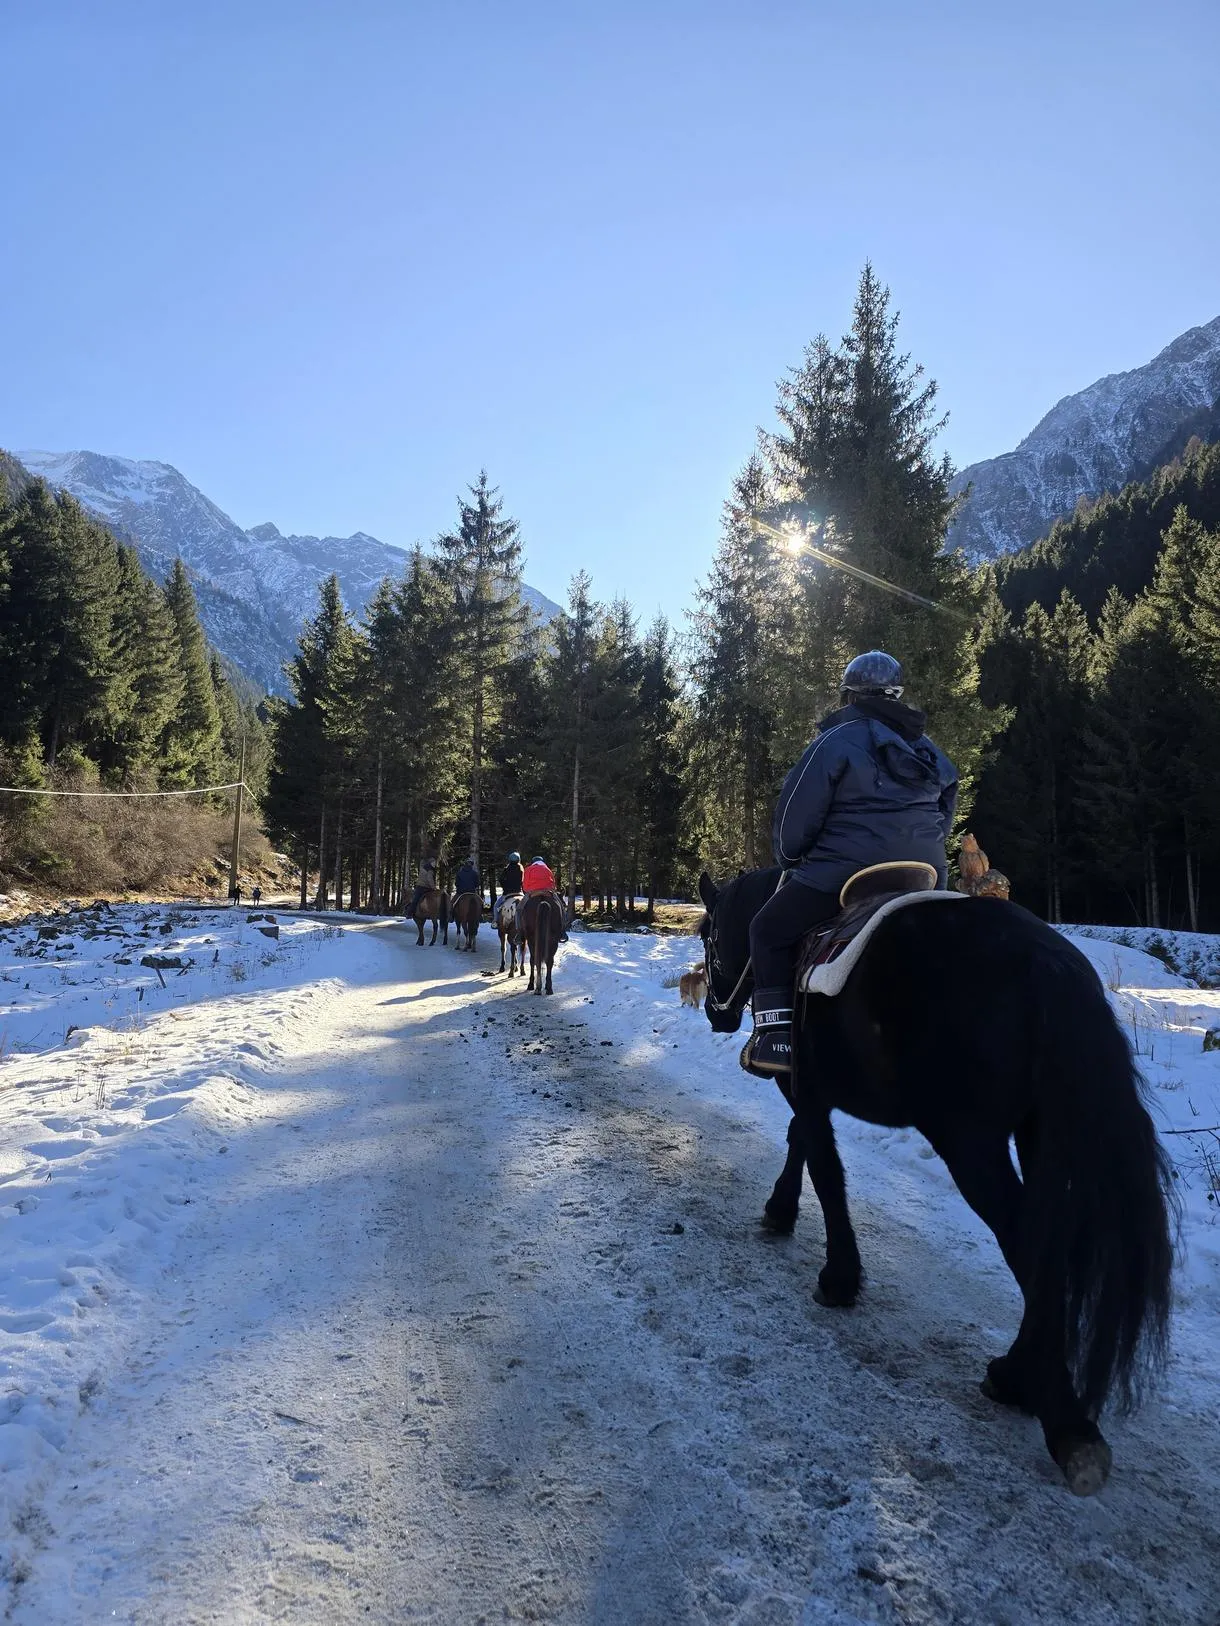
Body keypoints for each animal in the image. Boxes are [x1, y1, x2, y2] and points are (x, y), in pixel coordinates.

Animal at [697, 865, 1175, 1497]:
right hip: (1038, 1134)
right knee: (1045, 1245)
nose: (716, 1014)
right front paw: (781, 1213)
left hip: (969, 1142)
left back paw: (1062, 1417)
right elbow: (804, 1144)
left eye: (708, 936)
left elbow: (822, 1164)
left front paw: (838, 1276)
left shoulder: (801, 1084)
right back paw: (1020, 1376)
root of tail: (1047, 963)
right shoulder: (812, 1092)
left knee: (1026, 1243)